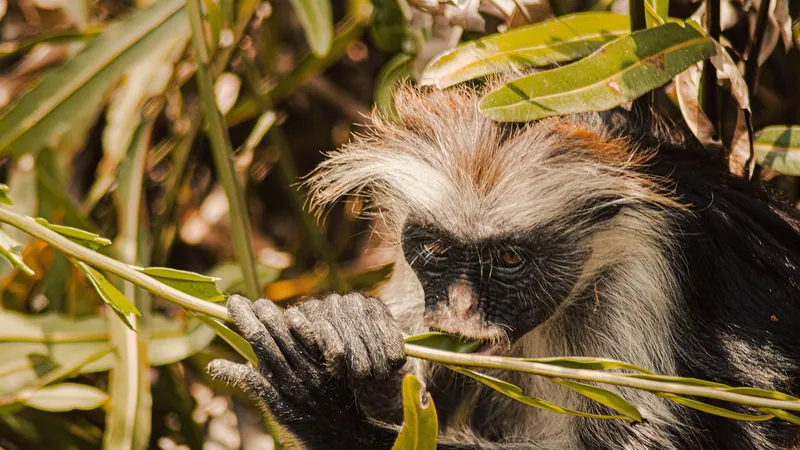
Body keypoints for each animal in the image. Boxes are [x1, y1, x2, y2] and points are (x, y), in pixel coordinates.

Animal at [208, 82, 800, 450]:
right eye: (437, 250)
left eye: (511, 259)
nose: (461, 311)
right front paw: (347, 328)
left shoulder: (640, 275)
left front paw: (322, 407)